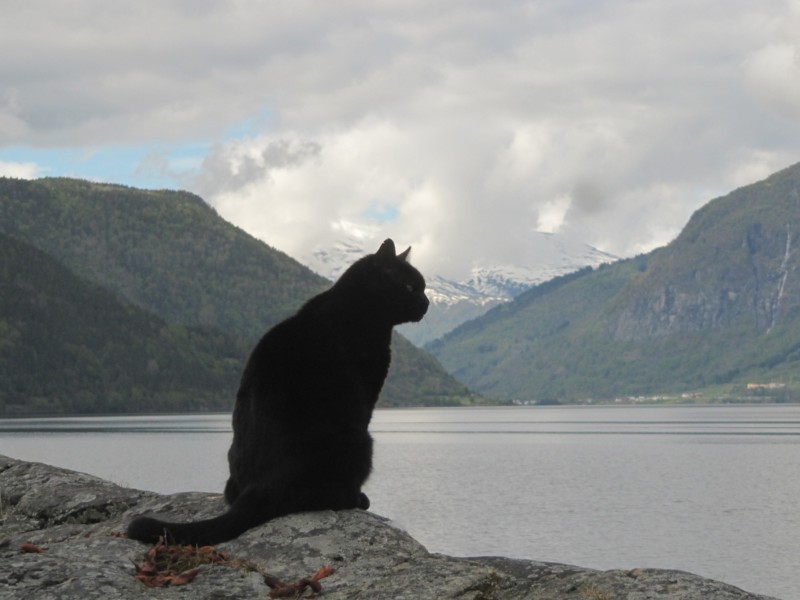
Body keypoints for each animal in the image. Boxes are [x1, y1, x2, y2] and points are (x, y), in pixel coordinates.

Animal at [126, 238, 424, 544]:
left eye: (422, 288)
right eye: (409, 287)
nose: (425, 303)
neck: (360, 310)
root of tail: (259, 488)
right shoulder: (366, 398)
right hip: (359, 440)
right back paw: (356, 499)